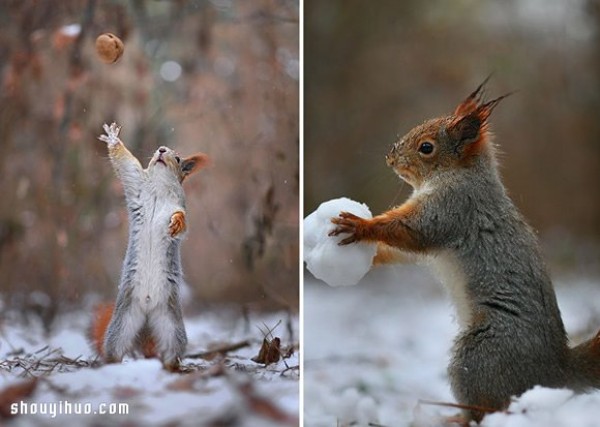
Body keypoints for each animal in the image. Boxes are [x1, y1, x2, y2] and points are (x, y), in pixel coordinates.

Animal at [89, 123, 209, 372]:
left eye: (178, 157)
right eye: (157, 150)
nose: (161, 150)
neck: (160, 187)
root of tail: (146, 310)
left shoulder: (179, 205)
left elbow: (182, 220)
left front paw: (177, 223)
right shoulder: (135, 183)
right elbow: (126, 164)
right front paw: (113, 139)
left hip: (170, 325)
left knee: (172, 351)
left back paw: (172, 368)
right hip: (123, 322)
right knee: (115, 349)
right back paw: (111, 366)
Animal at [328, 78, 600, 422]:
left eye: (426, 147)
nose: (390, 157)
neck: (461, 174)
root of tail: (556, 373)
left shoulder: (452, 208)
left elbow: (411, 232)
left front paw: (360, 226)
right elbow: (404, 251)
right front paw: (370, 255)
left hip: (479, 355)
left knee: (489, 407)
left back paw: (456, 417)